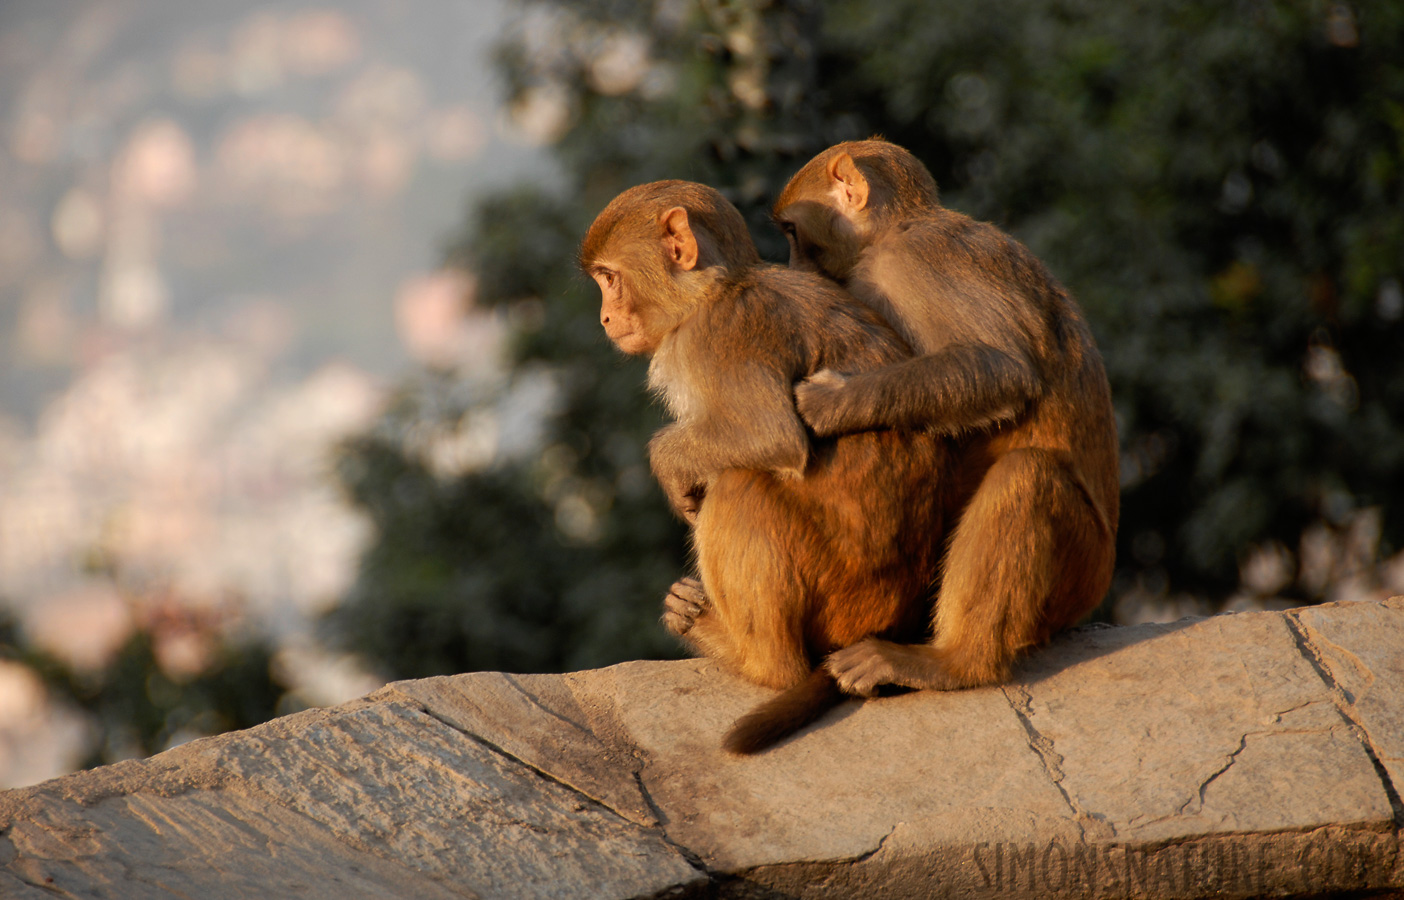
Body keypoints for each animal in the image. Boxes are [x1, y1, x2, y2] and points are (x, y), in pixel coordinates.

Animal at [578, 181, 954, 752]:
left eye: (609, 279)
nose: (603, 318)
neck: (712, 293)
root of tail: (888, 623)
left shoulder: (717, 340)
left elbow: (770, 434)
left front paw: (669, 464)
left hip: (838, 599)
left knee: (740, 488)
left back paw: (748, 656)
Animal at [769, 140, 1117, 699]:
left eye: (791, 232)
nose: (792, 266)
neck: (897, 228)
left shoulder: (911, 263)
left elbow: (1003, 370)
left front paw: (831, 402)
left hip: (1080, 572)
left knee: (1029, 475)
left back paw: (955, 663)